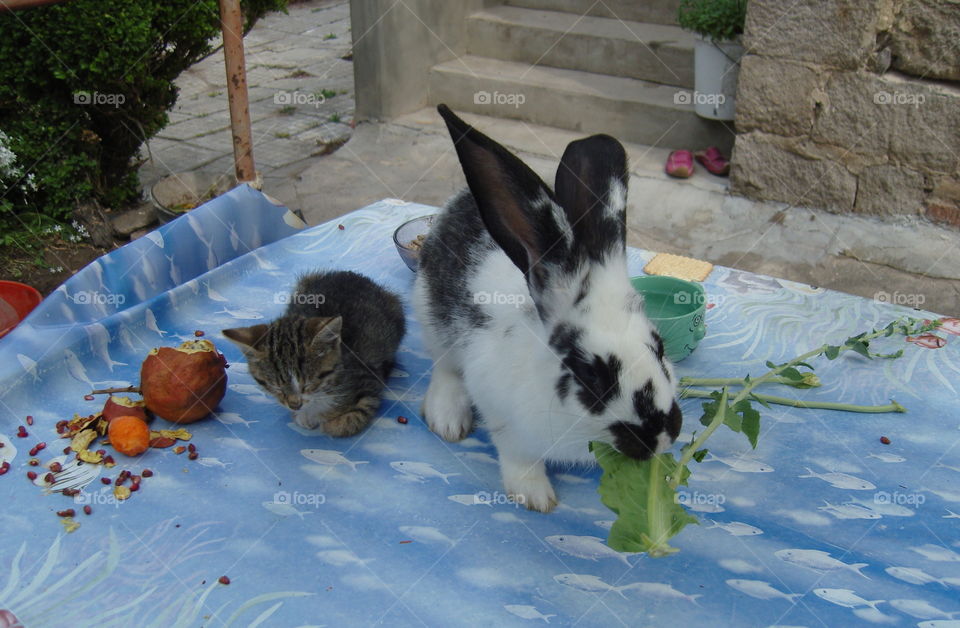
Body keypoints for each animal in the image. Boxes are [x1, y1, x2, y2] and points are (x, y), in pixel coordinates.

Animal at [223, 270, 404, 436]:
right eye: (275, 386)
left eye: (309, 383)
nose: (295, 405)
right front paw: (304, 416)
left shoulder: (369, 380)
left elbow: (353, 417)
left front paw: (329, 422)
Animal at [412, 105, 684, 512]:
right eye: (591, 376)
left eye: (660, 348)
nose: (663, 437)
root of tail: (458, 201)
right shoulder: (504, 418)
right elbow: (518, 458)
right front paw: (535, 496)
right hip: (431, 319)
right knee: (444, 368)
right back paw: (448, 419)